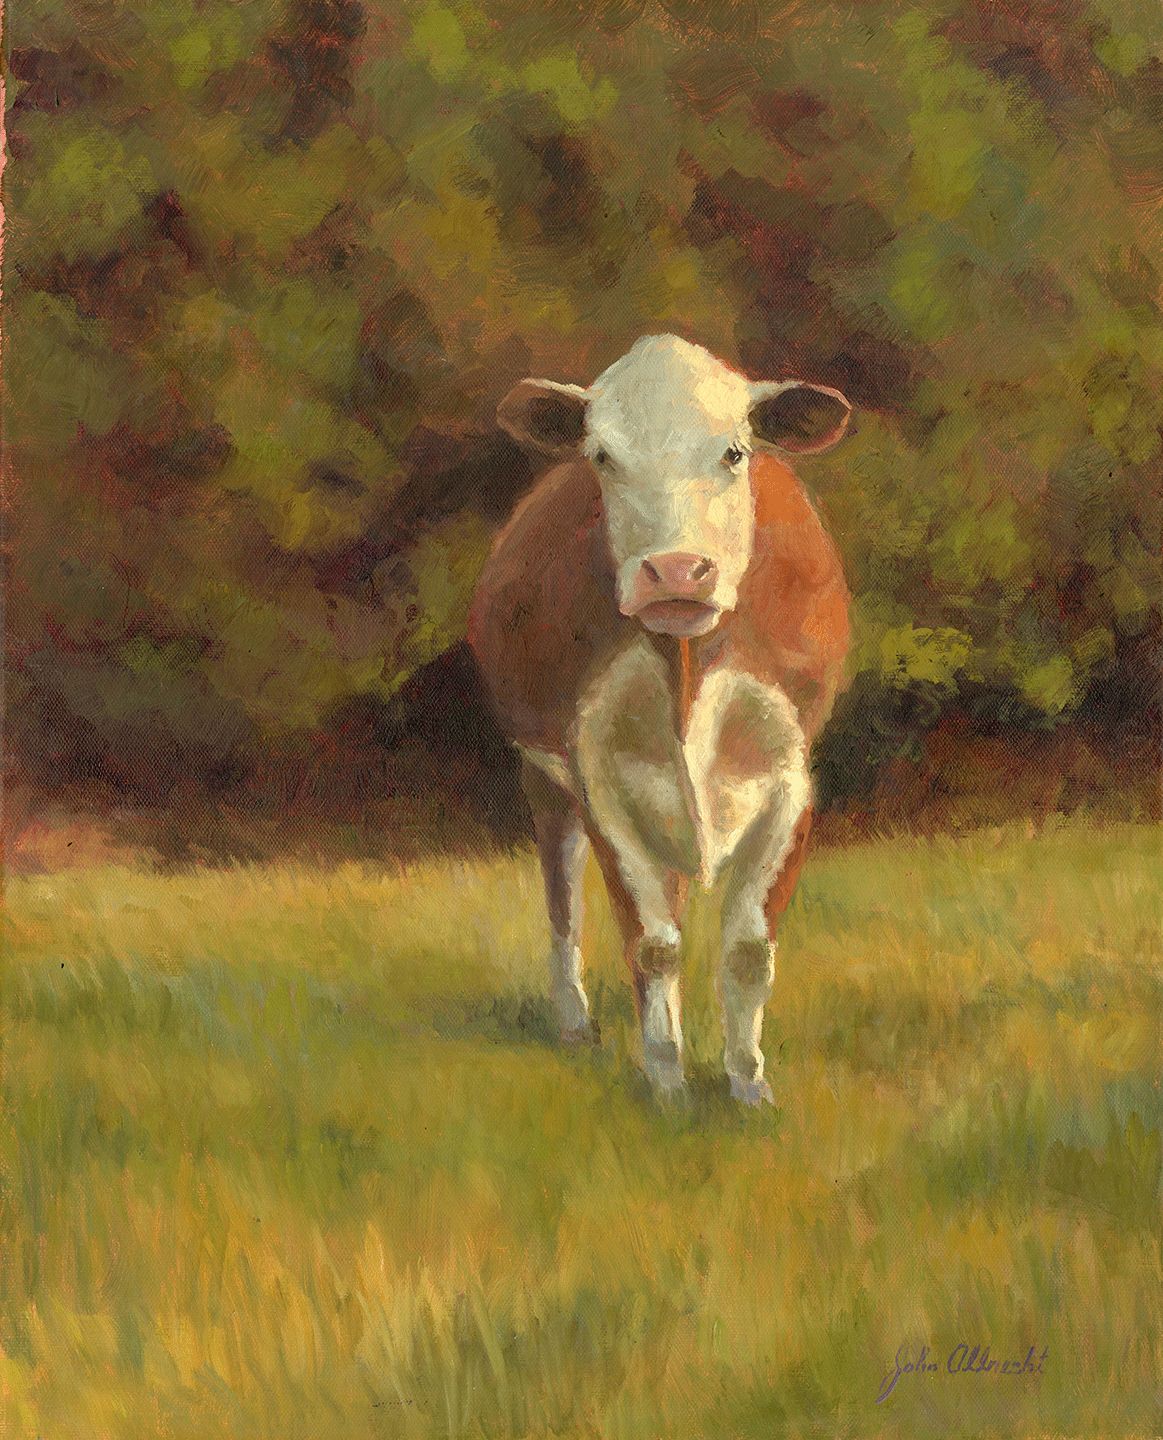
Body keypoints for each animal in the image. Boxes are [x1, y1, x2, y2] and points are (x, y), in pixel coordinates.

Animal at [468, 335, 851, 1103]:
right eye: (602, 455)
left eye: (734, 451)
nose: (675, 572)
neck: (686, 670)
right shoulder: (600, 781)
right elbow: (651, 944)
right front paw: (668, 1084)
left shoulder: (790, 780)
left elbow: (747, 950)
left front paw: (748, 1085)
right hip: (544, 780)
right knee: (563, 900)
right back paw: (575, 1022)